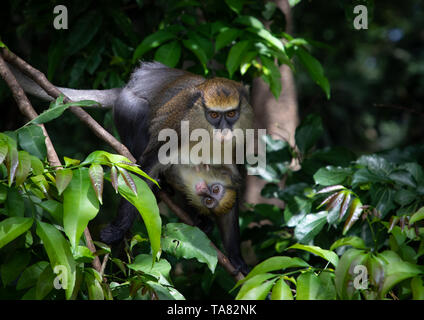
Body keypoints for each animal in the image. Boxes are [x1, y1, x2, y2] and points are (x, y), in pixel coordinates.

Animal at [11, 61, 253, 274]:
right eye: (214, 115)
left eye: (232, 114)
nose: (223, 131)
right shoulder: (177, 132)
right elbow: (145, 172)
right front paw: (117, 231)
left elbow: (230, 204)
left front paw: (236, 259)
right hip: (128, 107)